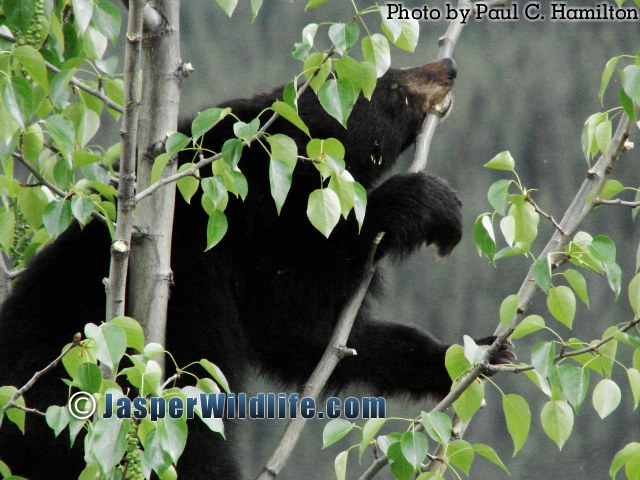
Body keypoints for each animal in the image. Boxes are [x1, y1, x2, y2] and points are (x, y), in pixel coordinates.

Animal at [0, 58, 510, 479]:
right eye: (392, 88)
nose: (448, 66)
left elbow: (314, 340)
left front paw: (473, 354)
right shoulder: (240, 230)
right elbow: (295, 297)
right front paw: (424, 205)